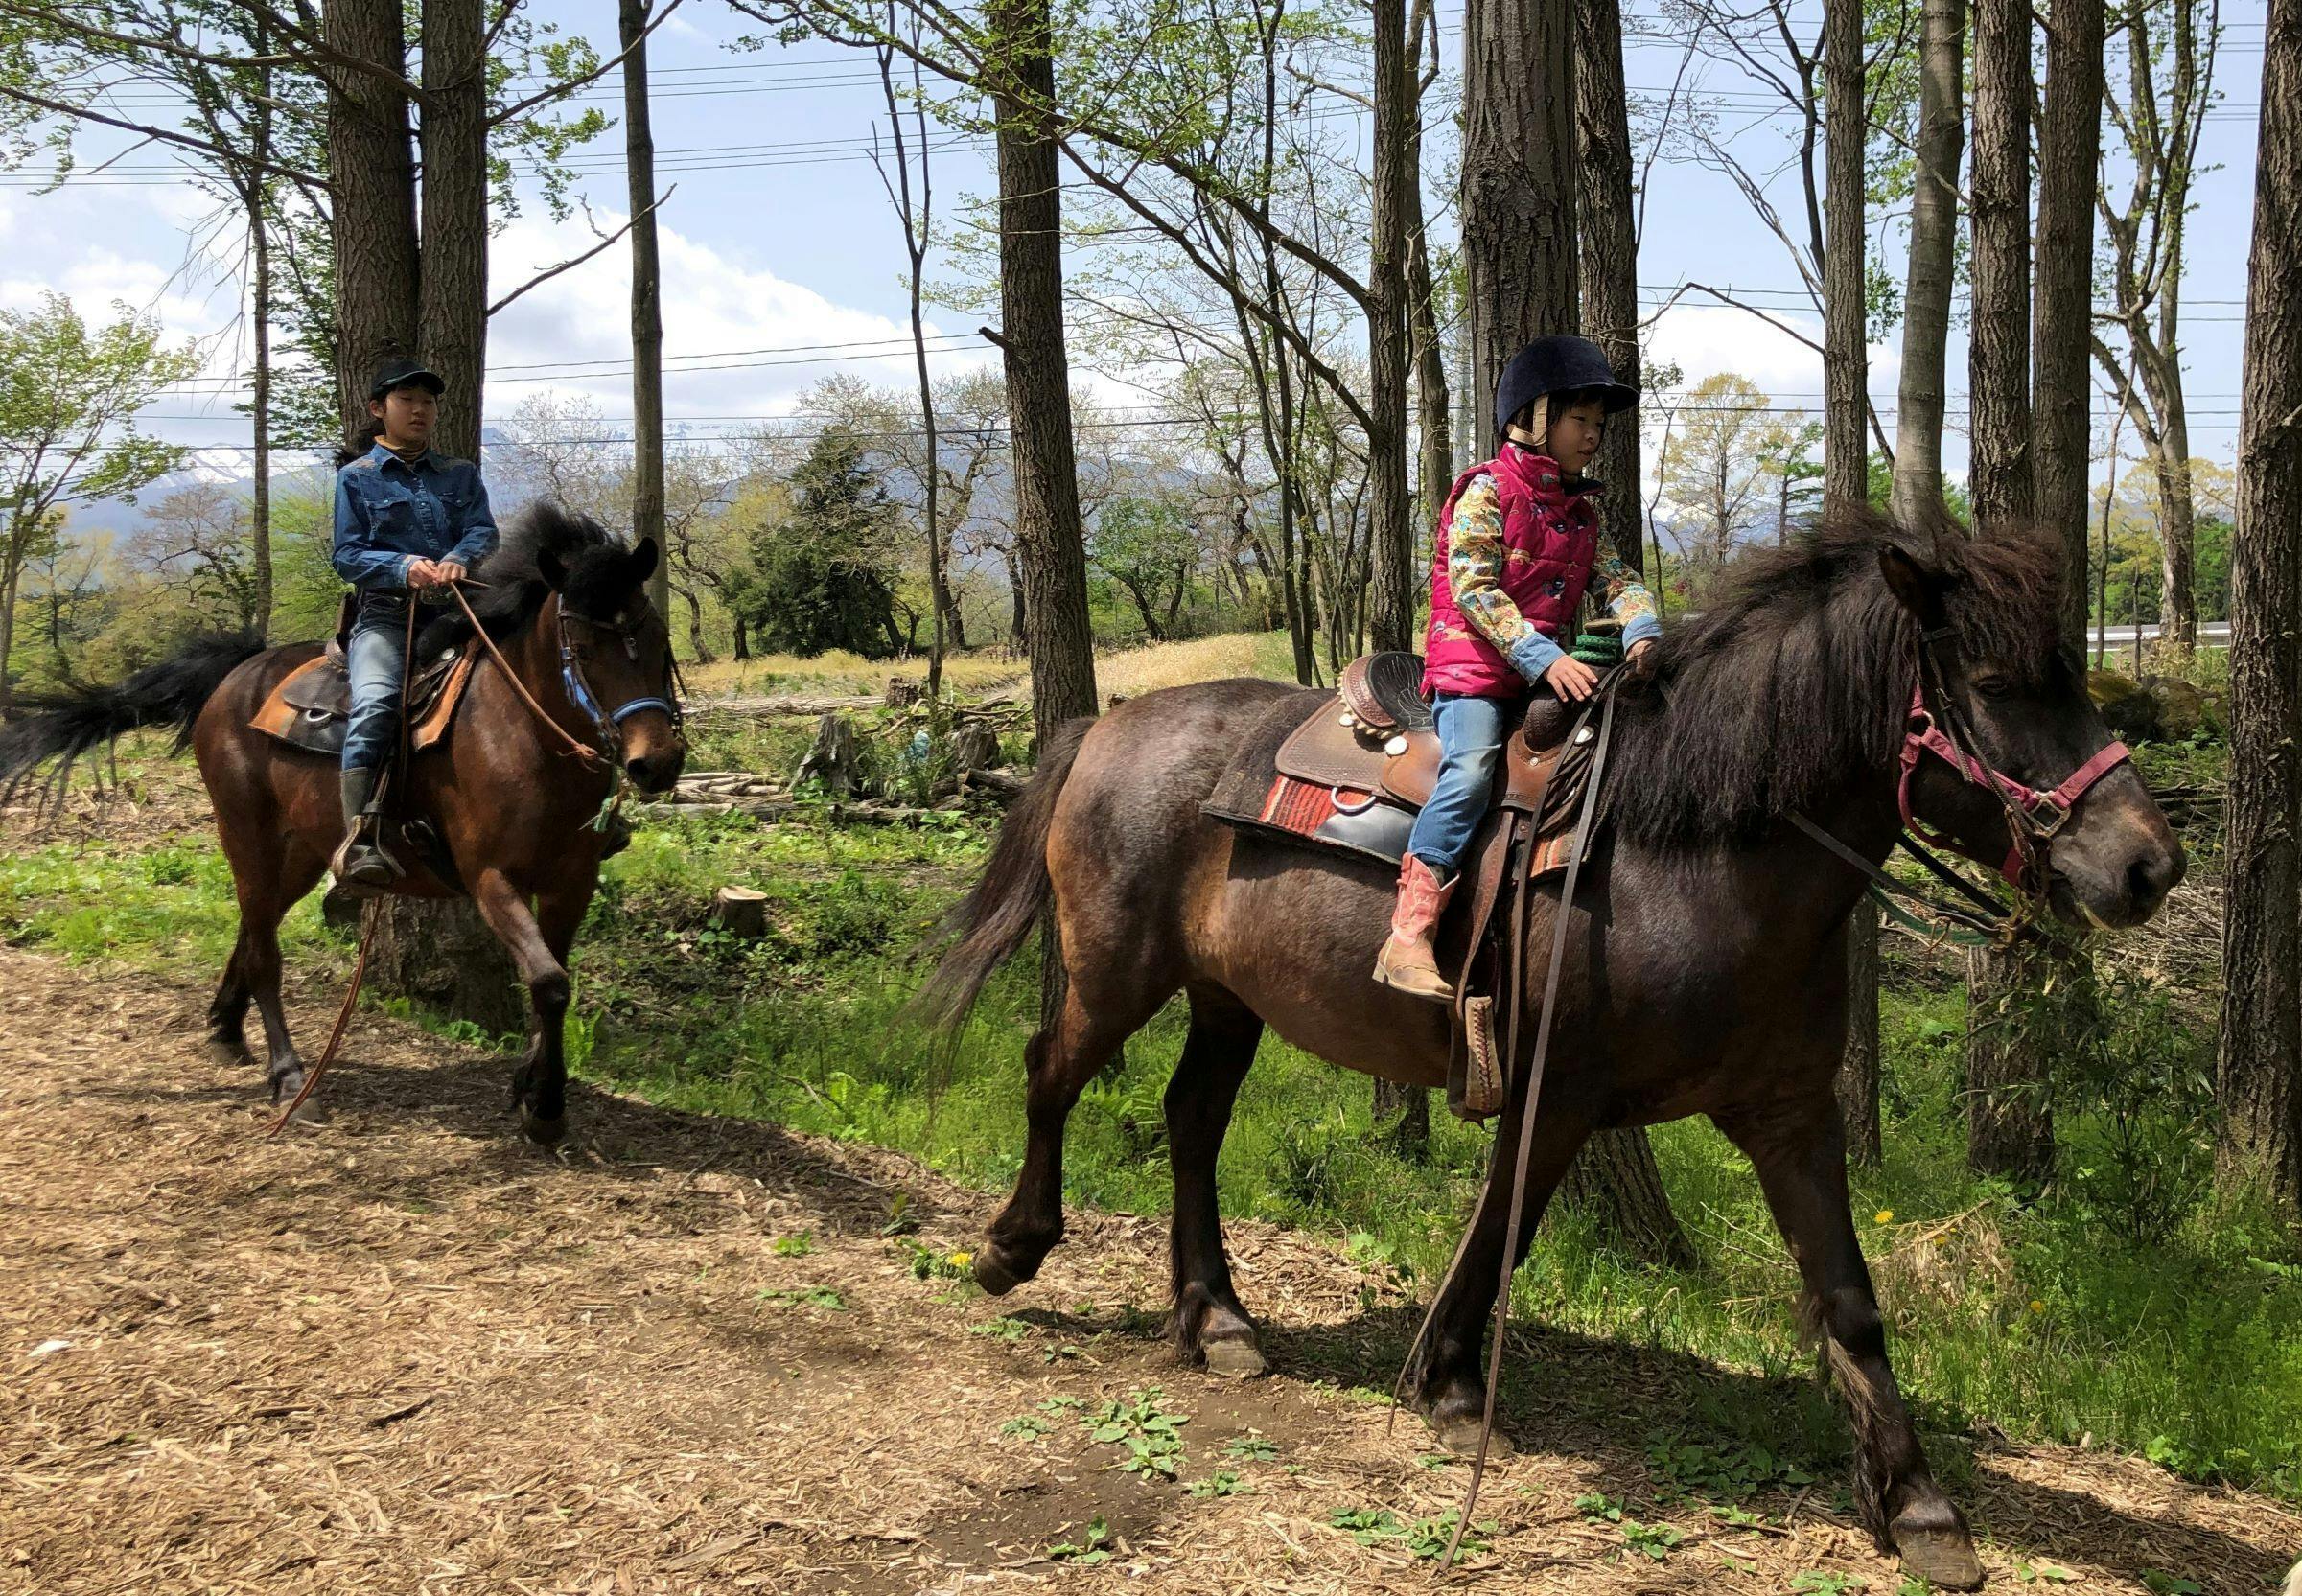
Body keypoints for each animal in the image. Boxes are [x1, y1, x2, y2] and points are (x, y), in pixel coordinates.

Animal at [0, 504, 681, 1137]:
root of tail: (240, 673)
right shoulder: (491, 879)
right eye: (583, 650)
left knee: (256, 927)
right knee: (265, 951)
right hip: (244, 833)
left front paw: (533, 1089)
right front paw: (542, 1107)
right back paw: (290, 1078)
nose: (657, 764)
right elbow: (547, 982)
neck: (524, 734)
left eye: (656, 637)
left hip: (304, 851)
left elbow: (553, 983)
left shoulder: (572, 882)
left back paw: (225, 1030)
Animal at [925, 513, 2182, 1593]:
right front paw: (1444, 1382)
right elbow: (1500, 1233)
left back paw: (1217, 1321)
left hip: (1226, 997)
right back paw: (1011, 1248)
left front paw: (1918, 1506)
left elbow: (1848, 1300)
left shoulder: (1791, 1114)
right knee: (1049, 1073)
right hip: (1115, 974)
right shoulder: (1556, 1095)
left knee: (1191, 1120)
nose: (2148, 866)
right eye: (1994, 688)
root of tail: (1107, 725)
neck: (1692, 853)